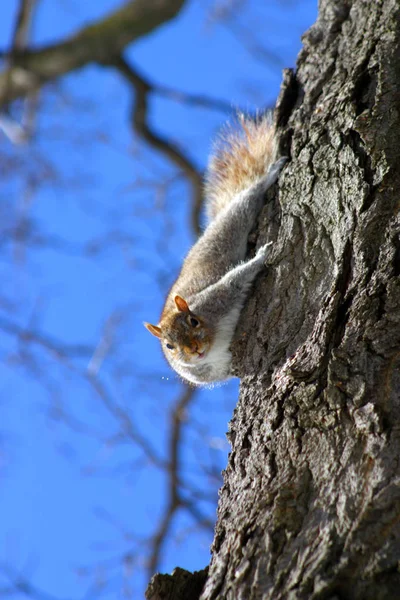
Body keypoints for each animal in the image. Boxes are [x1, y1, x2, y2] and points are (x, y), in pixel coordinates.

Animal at [145, 115, 286, 386]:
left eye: (193, 320)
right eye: (169, 346)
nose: (194, 350)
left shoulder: (218, 298)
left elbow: (235, 279)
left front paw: (261, 256)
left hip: (227, 228)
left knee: (245, 202)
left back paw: (269, 175)